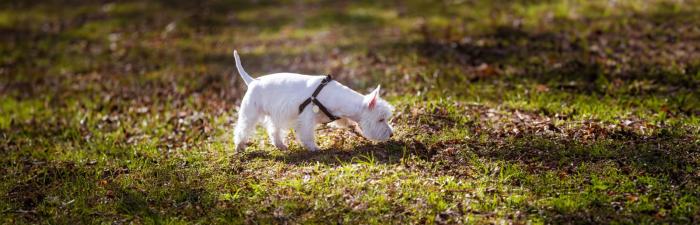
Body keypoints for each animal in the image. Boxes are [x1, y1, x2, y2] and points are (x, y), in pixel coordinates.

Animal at [231, 50, 392, 152]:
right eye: (381, 119)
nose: (391, 134)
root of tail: (252, 81)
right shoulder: (306, 118)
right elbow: (307, 134)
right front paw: (313, 148)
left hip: (275, 116)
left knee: (273, 130)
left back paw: (280, 145)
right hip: (250, 113)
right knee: (242, 129)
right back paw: (239, 147)